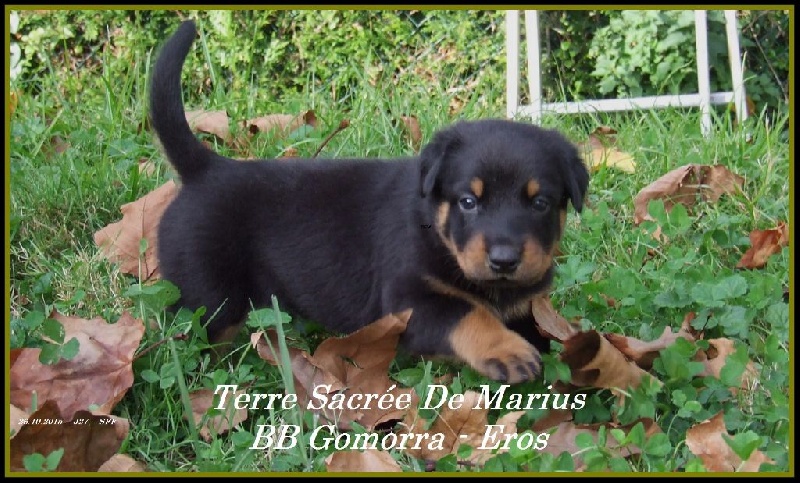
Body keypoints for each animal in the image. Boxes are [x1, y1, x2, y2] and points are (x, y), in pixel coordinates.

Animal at [150, 21, 589, 384]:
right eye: (468, 202)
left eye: (540, 203)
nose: (504, 260)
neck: (434, 228)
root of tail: (205, 169)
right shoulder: (407, 299)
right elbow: (467, 313)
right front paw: (508, 350)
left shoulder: (526, 304)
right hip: (209, 294)